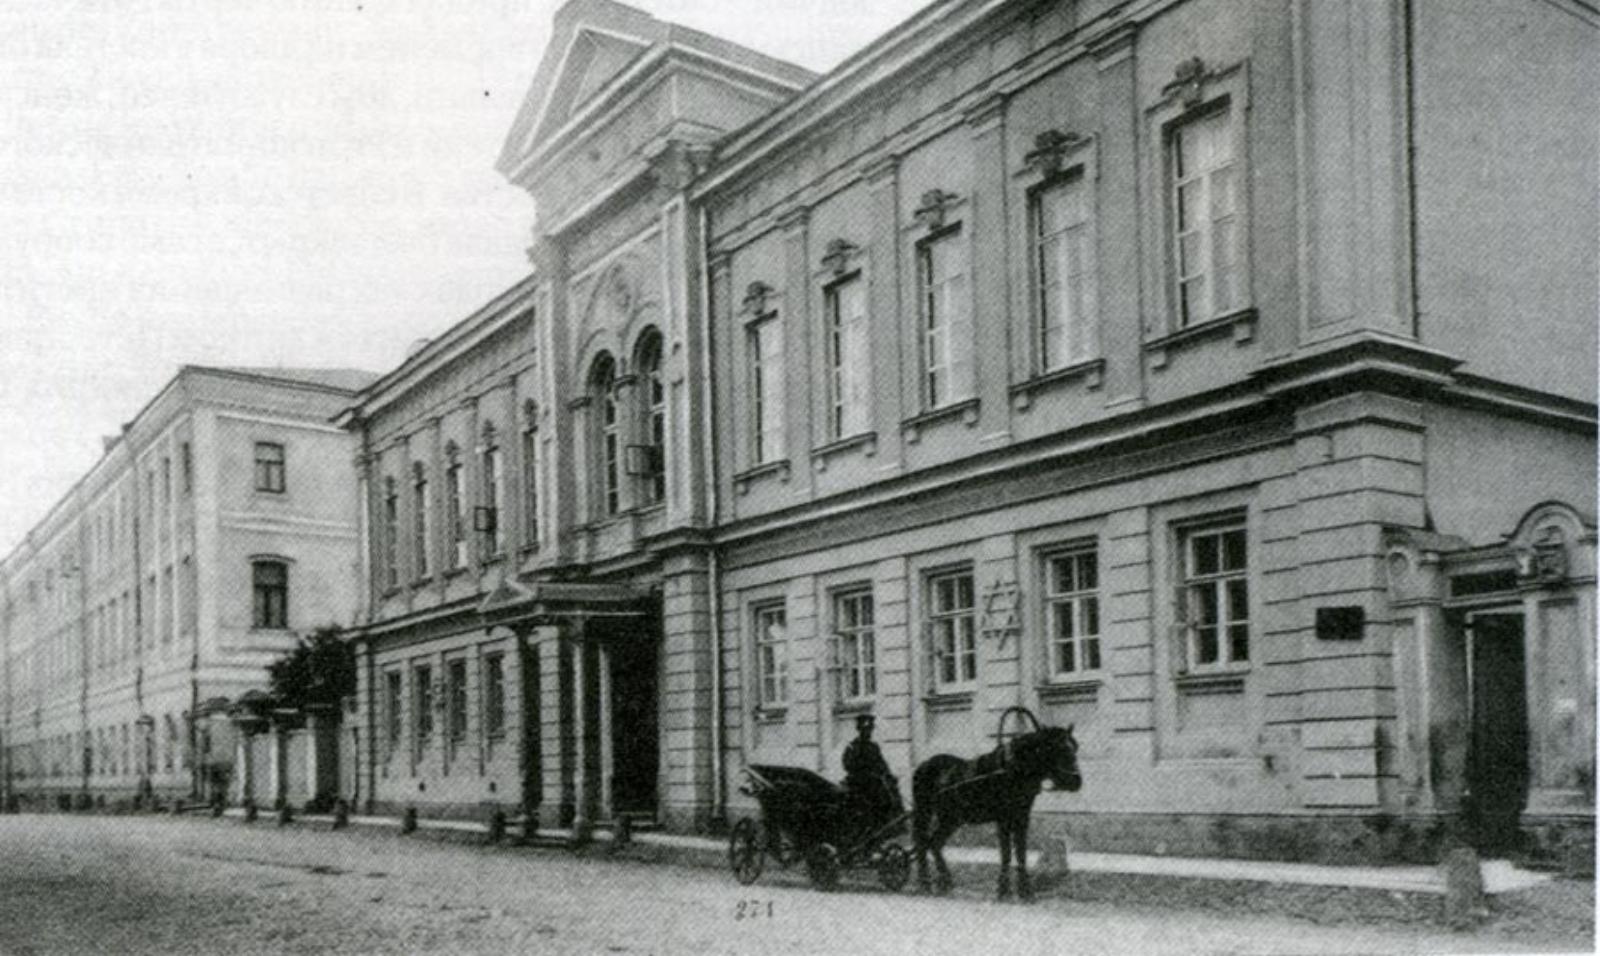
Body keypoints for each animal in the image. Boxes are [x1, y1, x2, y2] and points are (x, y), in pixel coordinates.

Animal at [908, 713, 1081, 908]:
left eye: (1074, 747)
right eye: (1058, 748)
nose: (1076, 781)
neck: (1014, 768)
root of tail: (923, 765)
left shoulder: (1022, 817)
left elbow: (1021, 853)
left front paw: (1025, 892)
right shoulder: (1003, 819)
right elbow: (1006, 854)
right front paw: (1004, 892)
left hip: (951, 818)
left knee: (934, 843)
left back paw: (944, 883)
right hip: (925, 812)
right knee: (923, 843)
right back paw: (926, 883)